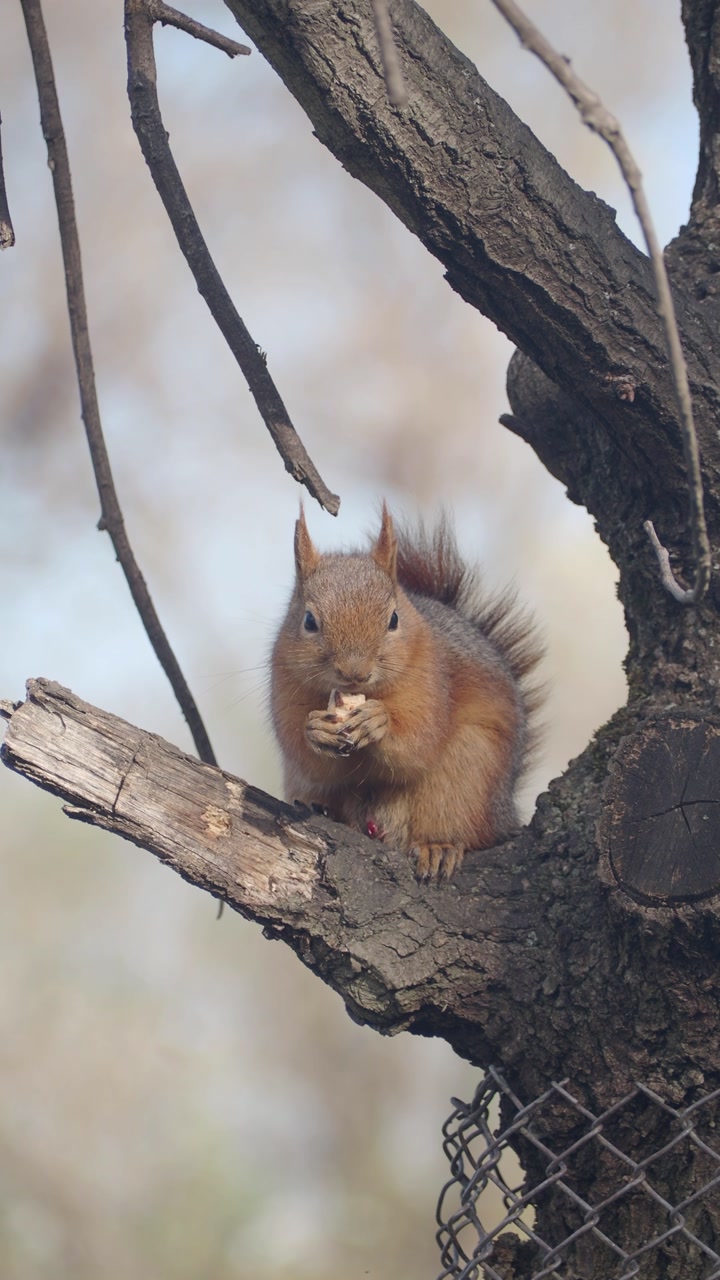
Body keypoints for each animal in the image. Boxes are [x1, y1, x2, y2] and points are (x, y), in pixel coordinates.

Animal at [270, 504, 543, 880]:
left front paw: (378, 722)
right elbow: (308, 758)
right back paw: (323, 808)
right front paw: (315, 729)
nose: (354, 673)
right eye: (309, 621)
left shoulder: (433, 682)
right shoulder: (284, 685)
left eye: (394, 619)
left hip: (465, 775)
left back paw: (438, 847)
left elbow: (419, 742)